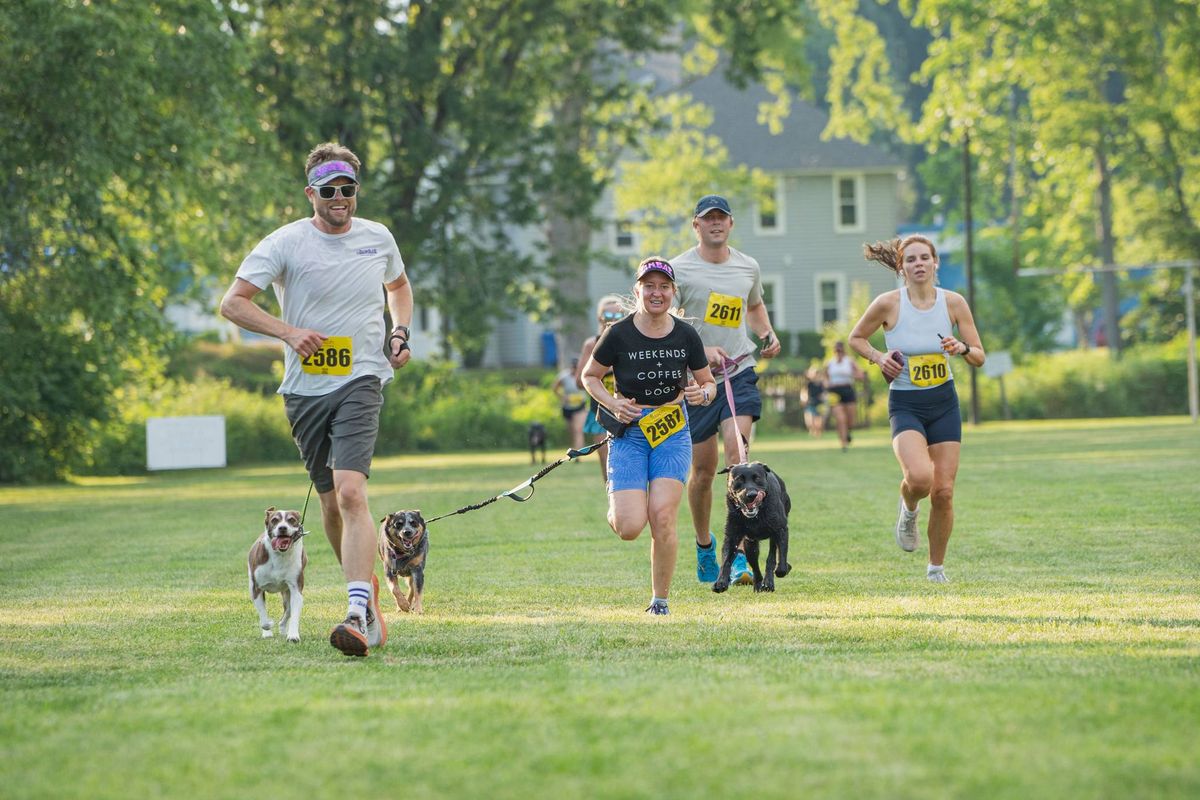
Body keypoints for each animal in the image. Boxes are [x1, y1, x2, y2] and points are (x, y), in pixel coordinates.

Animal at [244, 506, 304, 642]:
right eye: (274, 520)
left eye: (291, 520)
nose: (282, 528)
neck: (279, 555)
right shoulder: (257, 588)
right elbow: (263, 617)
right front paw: (268, 627)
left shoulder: (296, 588)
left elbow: (294, 614)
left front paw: (293, 635)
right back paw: (268, 633)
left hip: (286, 594)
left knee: (287, 611)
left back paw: (282, 629)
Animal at [715, 462, 792, 594]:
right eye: (739, 479)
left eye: (757, 479)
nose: (752, 495)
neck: (757, 515)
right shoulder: (732, 536)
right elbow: (726, 560)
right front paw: (721, 583)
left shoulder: (781, 530)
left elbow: (780, 561)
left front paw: (784, 569)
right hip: (750, 545)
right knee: (755, 566)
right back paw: (758, 584)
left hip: (773, 536)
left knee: (771, 557)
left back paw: (768, 583)